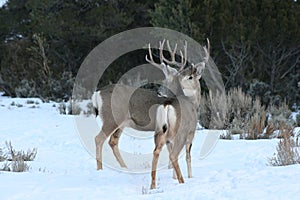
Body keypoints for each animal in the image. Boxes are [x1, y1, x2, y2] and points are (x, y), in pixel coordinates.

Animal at [92, 39, 210, 189]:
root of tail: (97, 93)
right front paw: (188, 177)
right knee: (99, 139)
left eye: (189, 76)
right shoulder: (189, 132)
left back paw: (127, 169)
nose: (162, 91)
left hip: (122, 123)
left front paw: (172, 174)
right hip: (111, 118)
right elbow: (187, 155)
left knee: (113, 141)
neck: (192, 102)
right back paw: (100, 169)